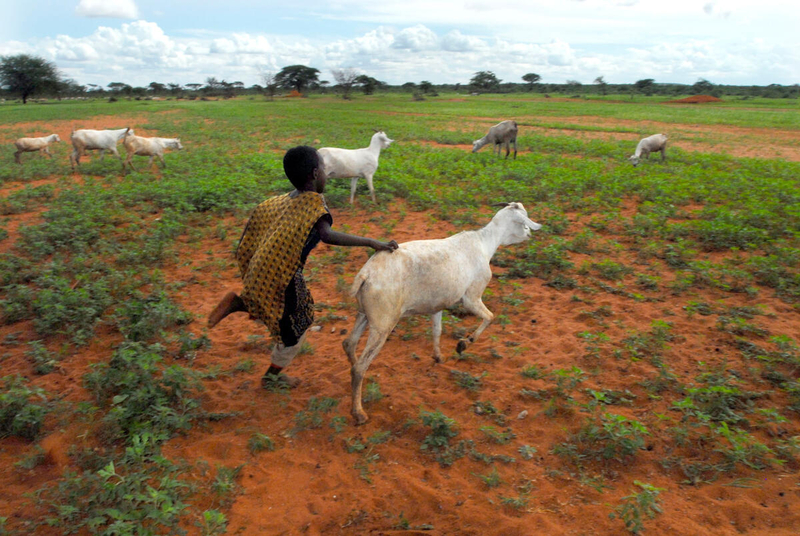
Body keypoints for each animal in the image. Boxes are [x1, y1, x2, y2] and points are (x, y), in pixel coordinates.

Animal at [342, 202, 542, 424]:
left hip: (364, 313)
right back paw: (359, 412)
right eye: (523, 220)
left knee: (349, 344)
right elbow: (489, 317)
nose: (529, 234)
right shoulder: (471, 297)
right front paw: (463, 344)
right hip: (383, 323)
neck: (484, 242)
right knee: (360, 367)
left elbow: (437, 331)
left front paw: (438, 357)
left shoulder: (437, 306)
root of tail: (365, 274)